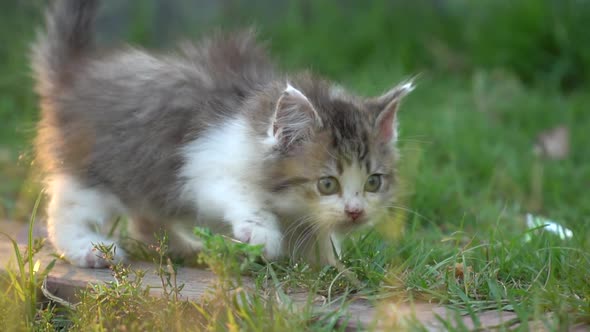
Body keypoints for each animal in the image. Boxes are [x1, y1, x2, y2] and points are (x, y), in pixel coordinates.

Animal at [31, 0, 412, 268]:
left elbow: (316, 241)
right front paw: (261, 233)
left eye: (374, 182)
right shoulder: (205, 164)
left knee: (145, 217)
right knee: (66, 210)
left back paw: (182, 248)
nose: (355, 212)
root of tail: (77, 71)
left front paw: (331, 267)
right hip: (95, 167)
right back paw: (88, 249)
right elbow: (243, 195)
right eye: (327, 184)